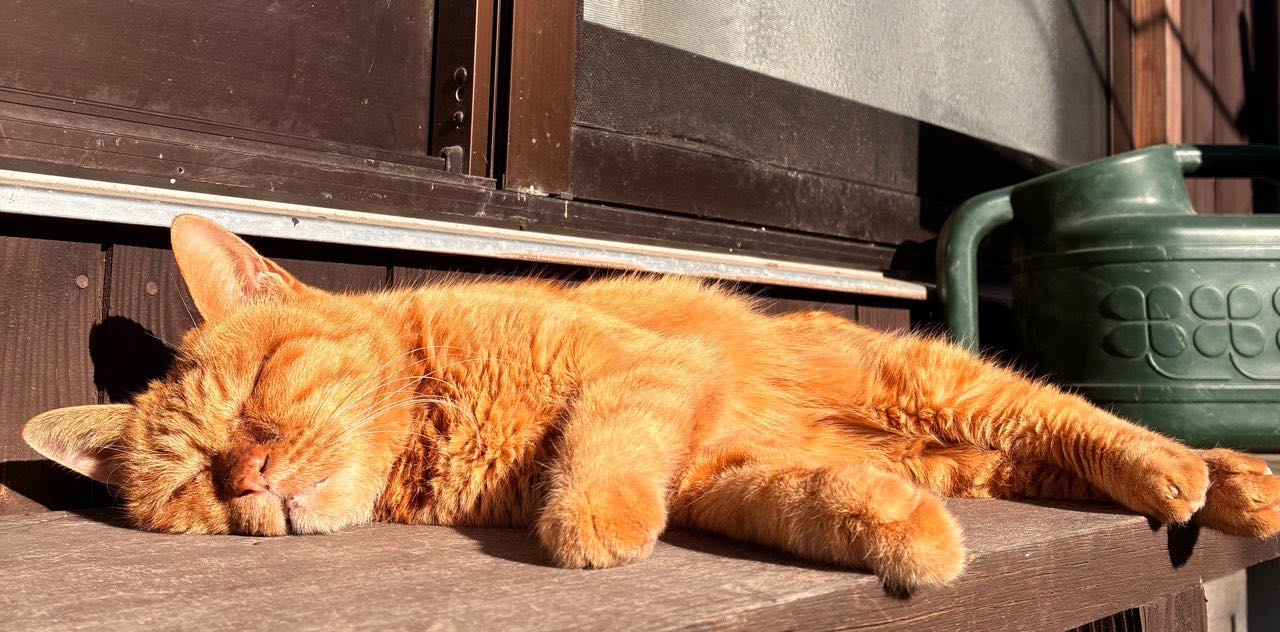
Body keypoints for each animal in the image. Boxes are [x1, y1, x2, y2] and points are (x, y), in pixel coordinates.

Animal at [22, 215, 1280, 591]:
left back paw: (1191, 470)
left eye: (261, 388)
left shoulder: (645, 371)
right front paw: (898, 533)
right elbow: (805, 497)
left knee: (1085, 420)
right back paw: (1234, 480)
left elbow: (605, 439)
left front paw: (590, 521)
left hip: (943, 385)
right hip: (966, 452)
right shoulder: (724, 469)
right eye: (194, 479)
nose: (250, 477)